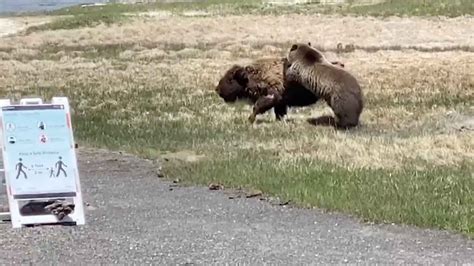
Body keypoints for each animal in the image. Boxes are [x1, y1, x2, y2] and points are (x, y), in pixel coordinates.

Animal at [215, 56, 344, 123]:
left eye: (230, 80)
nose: (217, 90)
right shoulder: (280, 103)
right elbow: (278, 113)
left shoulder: (272, 96)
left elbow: (257, 107)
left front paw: (250, 120)